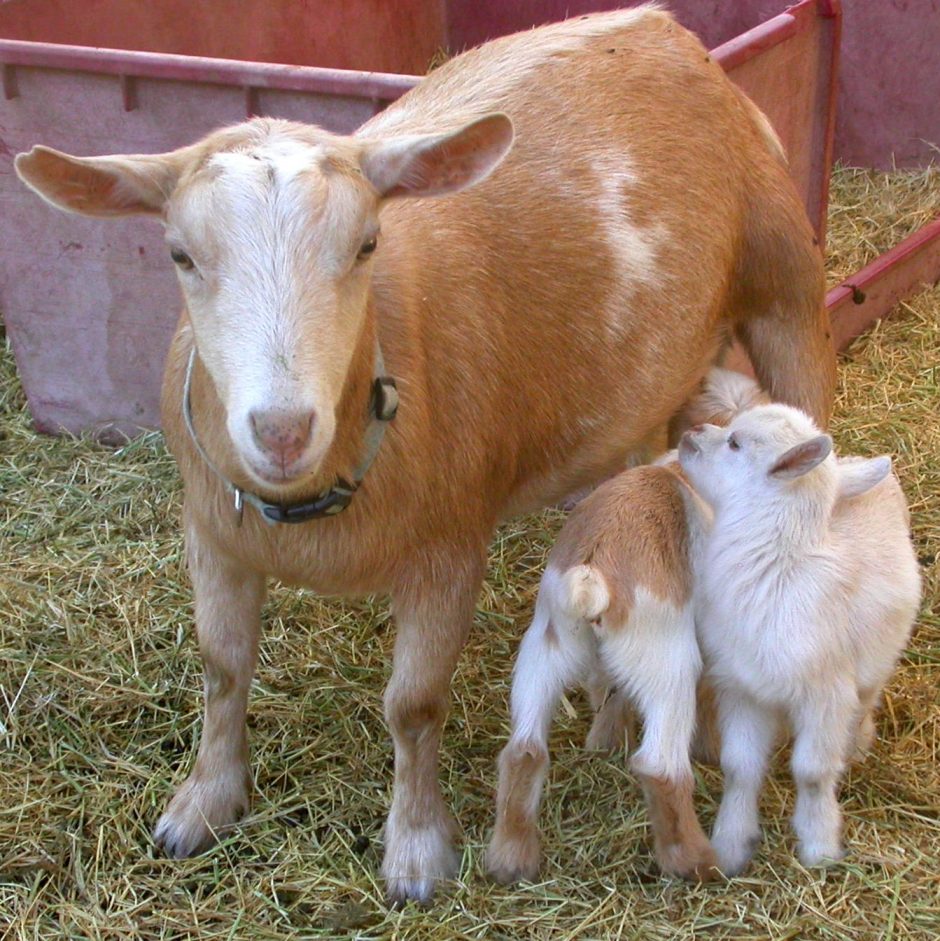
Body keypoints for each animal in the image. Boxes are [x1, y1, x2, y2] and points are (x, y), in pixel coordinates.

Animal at [15, 7, 834, 902]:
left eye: (367, 243)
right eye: (180, 254)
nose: (281, 429)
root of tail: (664, 29)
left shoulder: (448, 549)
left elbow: (413, 703)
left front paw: (415, 850)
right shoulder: (211, 531)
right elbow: (223, 667)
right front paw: (200, 806)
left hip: (785, 277)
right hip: (648, 387)